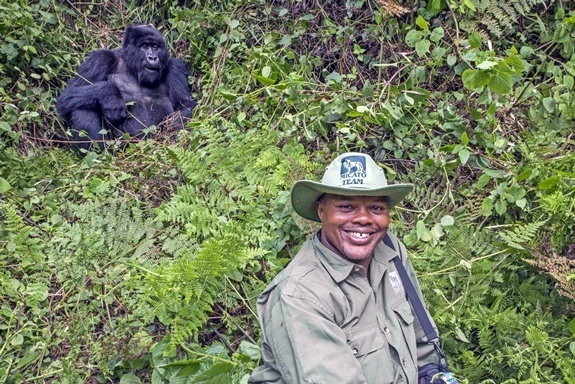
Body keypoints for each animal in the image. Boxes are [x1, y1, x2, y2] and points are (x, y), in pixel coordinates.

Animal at [56, 24, 196, 150]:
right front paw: (110, 95)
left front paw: (172, 132)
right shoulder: (100, 59)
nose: (152, 58)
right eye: (144, 46)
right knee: (82, 109)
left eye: (155, 47)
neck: (132, 66)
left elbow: (184, 105)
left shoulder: (175, 67)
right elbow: (66, 96)